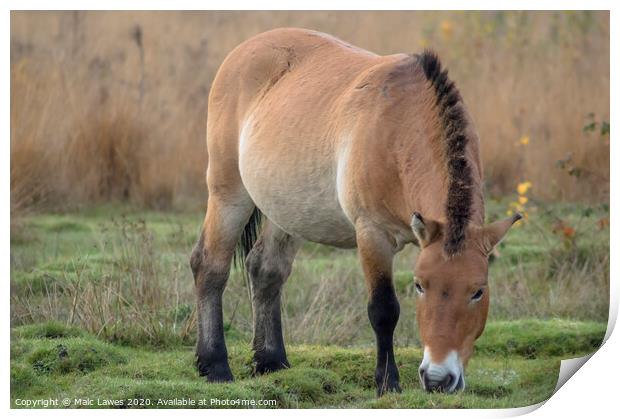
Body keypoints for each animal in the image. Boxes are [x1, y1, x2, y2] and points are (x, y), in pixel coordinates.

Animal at [191, 27, 520, 398]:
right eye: (420, 286)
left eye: (478, 291)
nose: (438, 379)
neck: (401, 127)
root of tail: (244, 49)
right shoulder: (372, 234)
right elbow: (384, 309)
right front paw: (388, 382)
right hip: (228, 193)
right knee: (210, 267)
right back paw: (215, 365)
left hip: (284, 210)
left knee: (265, 270)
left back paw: (271, 362)